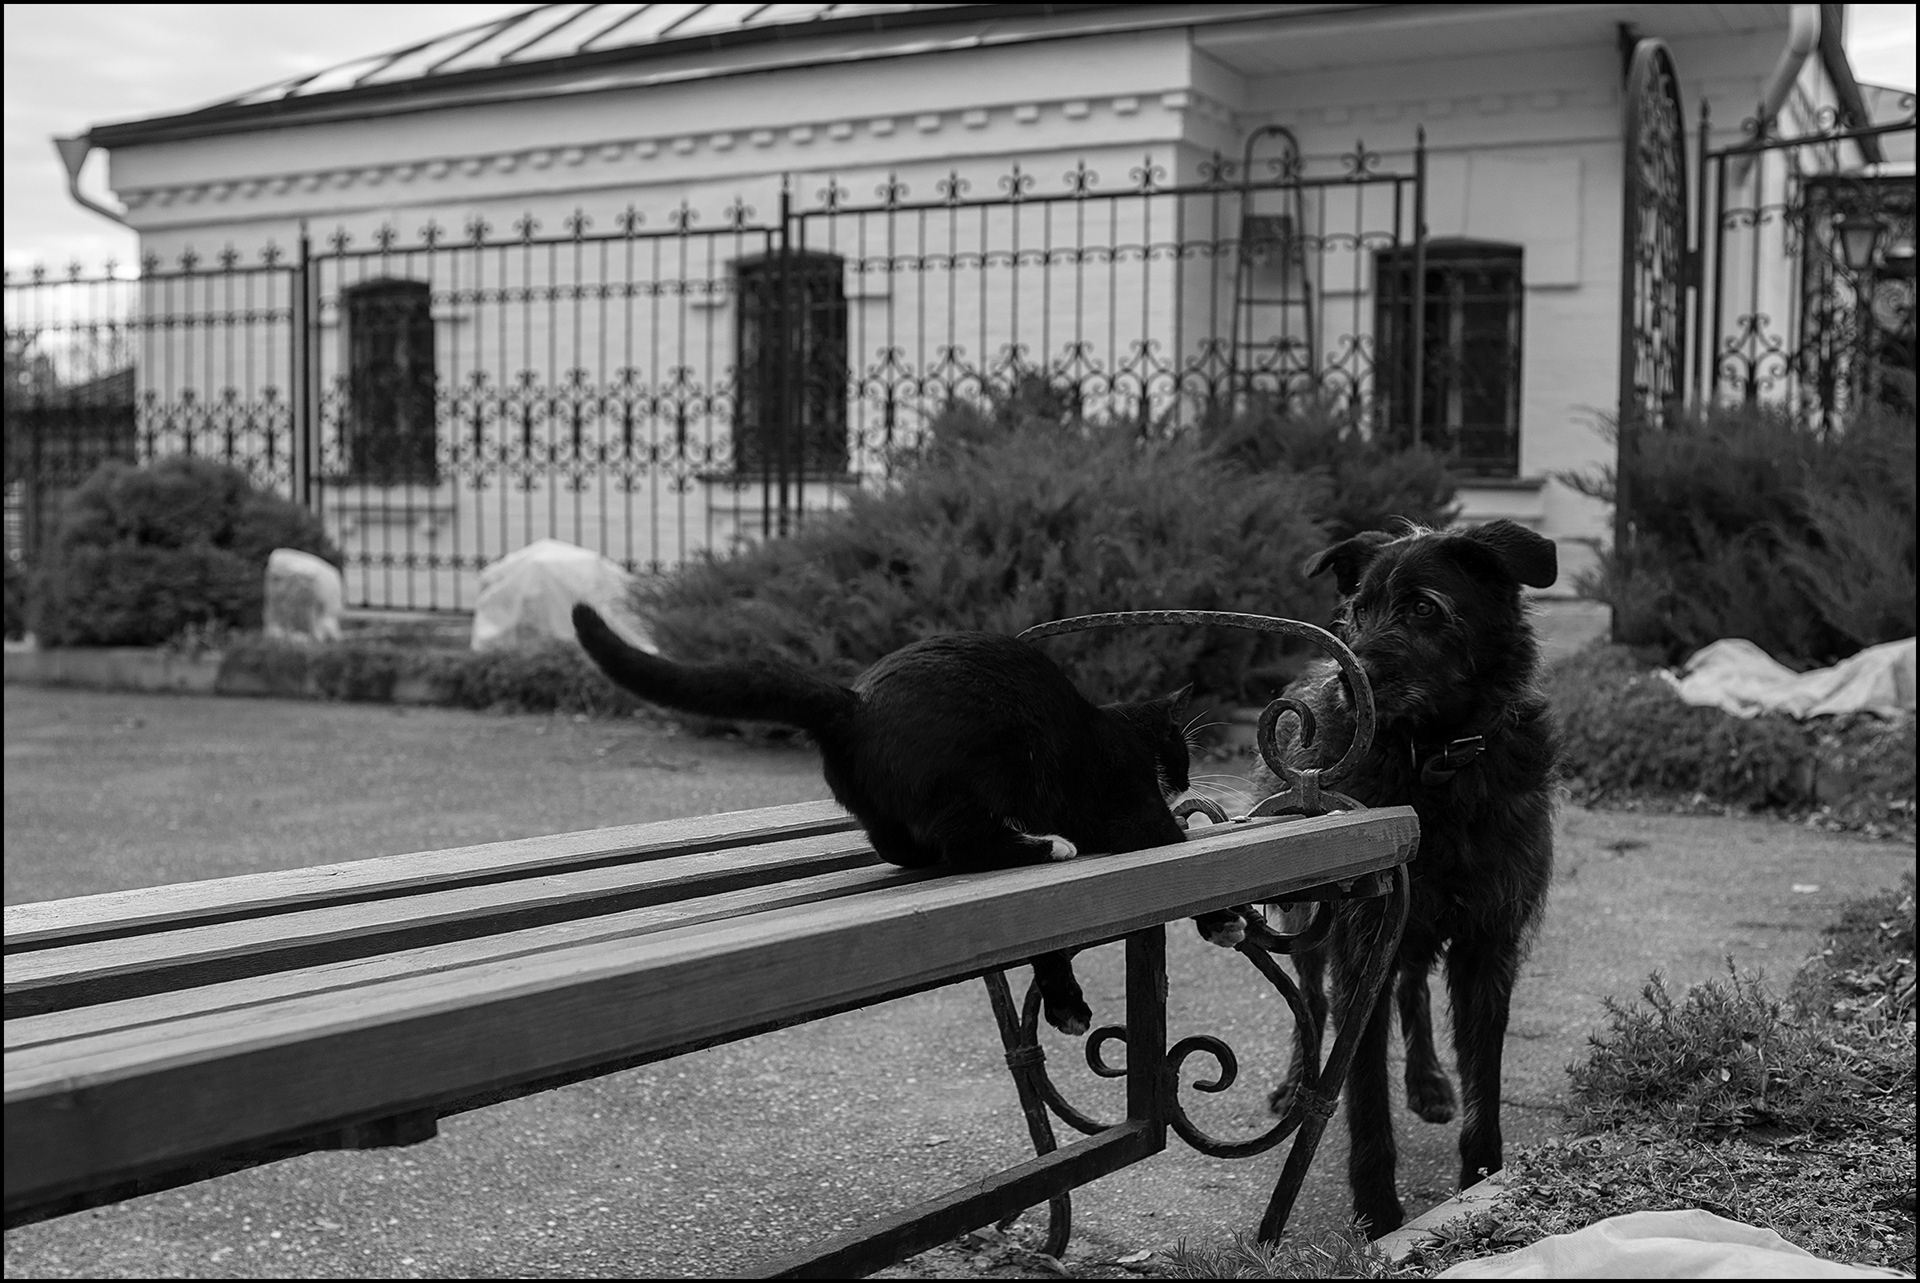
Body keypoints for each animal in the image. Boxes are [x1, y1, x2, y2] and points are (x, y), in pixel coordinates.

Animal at [571, 603, 1194, 1035]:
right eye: (1183, 752)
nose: (1188, 781)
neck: (1124, 731)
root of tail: (857, 705)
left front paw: (1065, 1003)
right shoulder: (1143, 819)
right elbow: (1175, 841)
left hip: (890, 807)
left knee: (900, 846)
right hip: (978, 775)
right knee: (970, 846)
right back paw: (1048, 844)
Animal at [1223, 518, 1558, 1236]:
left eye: (1424, 608)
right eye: (1356, 611)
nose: (1347, 683)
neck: (1433, 767)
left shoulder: (1488, 943)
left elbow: (1484, 1075)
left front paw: (1481, 1179)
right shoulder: (1359, 942)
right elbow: (1361, 1089)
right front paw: (1377, 1213)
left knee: (1413, 986)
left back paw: (1428, 1079)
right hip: (1310, 917)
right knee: (1312, 1001)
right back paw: (1296, 1082)